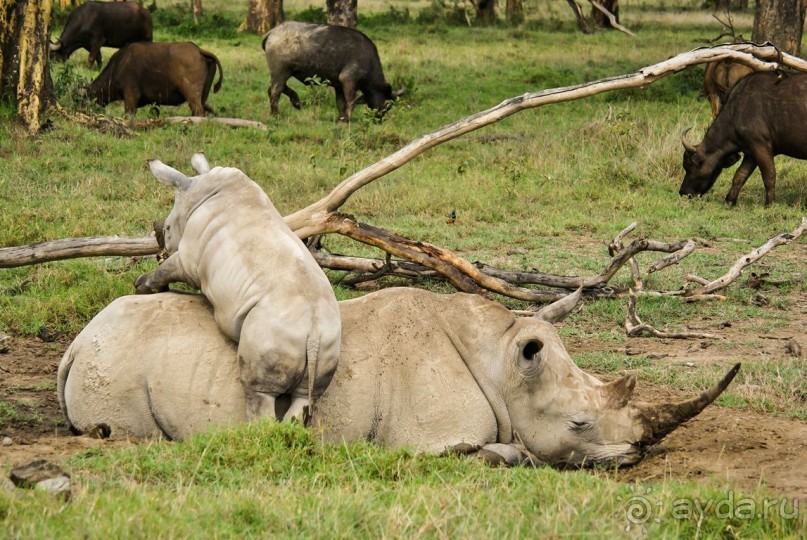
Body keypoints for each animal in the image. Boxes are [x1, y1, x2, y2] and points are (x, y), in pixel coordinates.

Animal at [55, 288, 740, 470]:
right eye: (578, 423)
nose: (635, 455)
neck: (502, 362)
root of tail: (77, 341)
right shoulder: (431, 439)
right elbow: (497, 450)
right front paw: (518, 455)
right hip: (115, 368)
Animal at [83, 41, 223, 118]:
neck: (118, 65)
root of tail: (198, 50)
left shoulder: (131, 95)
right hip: (203, 96)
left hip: (192, 94)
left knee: (198, 112)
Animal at [135, 152, 340, 422]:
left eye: (168, 228)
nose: (165, 246)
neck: (198, 191)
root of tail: (313, 333)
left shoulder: (188, 260)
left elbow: (167, 268)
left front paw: (141, 286)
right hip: (328, 341)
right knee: (306, 396)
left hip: (270, 332)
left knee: (260, 391)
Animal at [260, 21, 402, 122]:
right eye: (387, 104)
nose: (380, 118)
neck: (369, 61)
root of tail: (273, 31)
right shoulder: (348, 79)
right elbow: (350, 101)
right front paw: (348, 118)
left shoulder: (339, 85)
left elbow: (340, 102)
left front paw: (341, 117)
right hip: (281, 72)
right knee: (275, 91)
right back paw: (276, 114)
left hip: (279, 73)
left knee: (272, 88)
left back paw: (296, 102)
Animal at [680, 70, 807, 206]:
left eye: (688, 166)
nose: (682, 192)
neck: (736, 111)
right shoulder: (750, 153)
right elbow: (739, 175)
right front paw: (730, 201)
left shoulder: (760, 146)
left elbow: (769, 176)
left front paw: (770, 203)